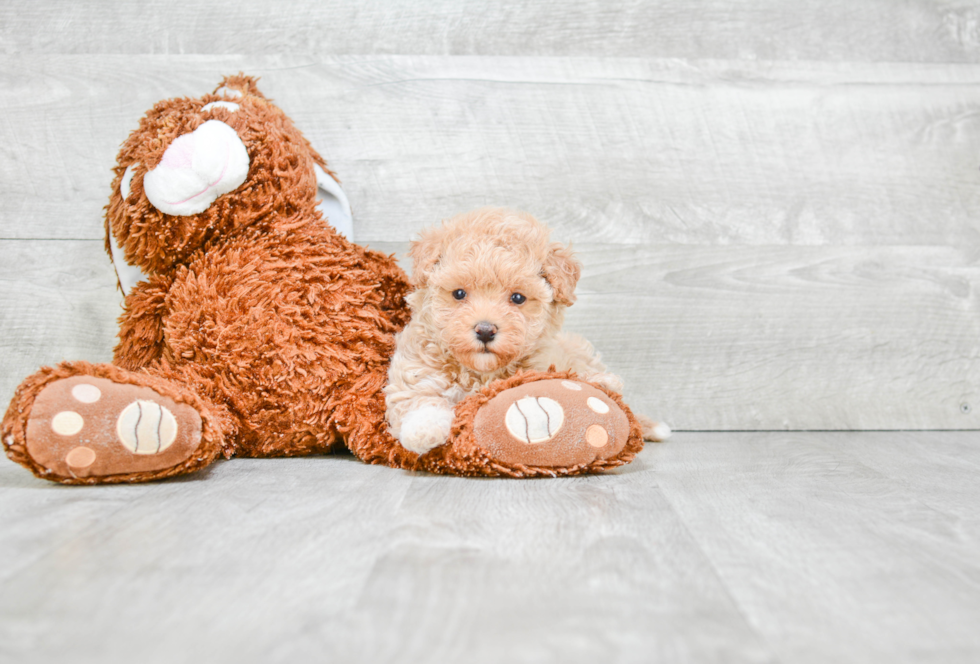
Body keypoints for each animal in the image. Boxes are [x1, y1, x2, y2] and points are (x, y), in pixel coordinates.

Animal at [382, 208, 668, 456]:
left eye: (517, 298)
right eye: (459, 294)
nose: (485, 330)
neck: (481, 372)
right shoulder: (416, 369)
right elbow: (421, 398)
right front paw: (423, 430)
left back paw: (606, 384)